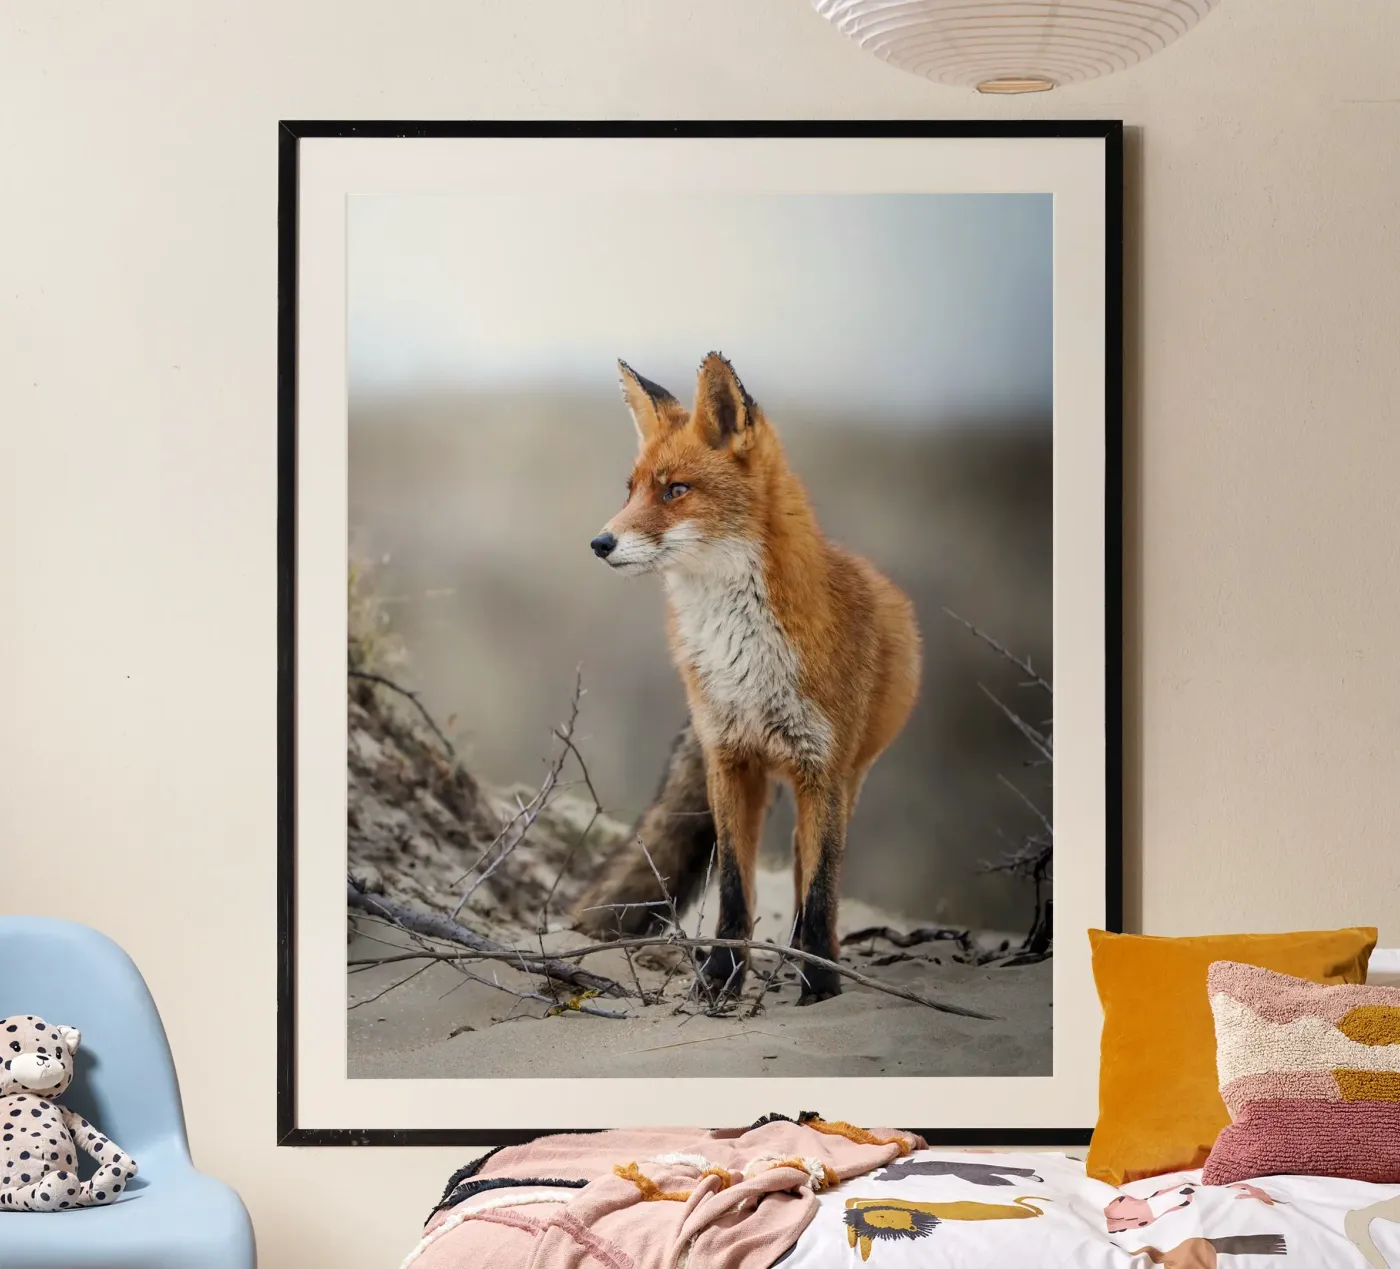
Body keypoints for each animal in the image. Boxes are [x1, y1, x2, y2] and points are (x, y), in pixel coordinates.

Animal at [576, 352, 922, 1004]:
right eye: (631, 490)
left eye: (676, 490)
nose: (599, 542)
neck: (745, 657)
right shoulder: (729, 758)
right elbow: (735, 888)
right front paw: (719, 978)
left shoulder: (823, 768)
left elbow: (820, 891)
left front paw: (820, 985)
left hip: (845, 782)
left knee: (811, 875)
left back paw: (809, 956)